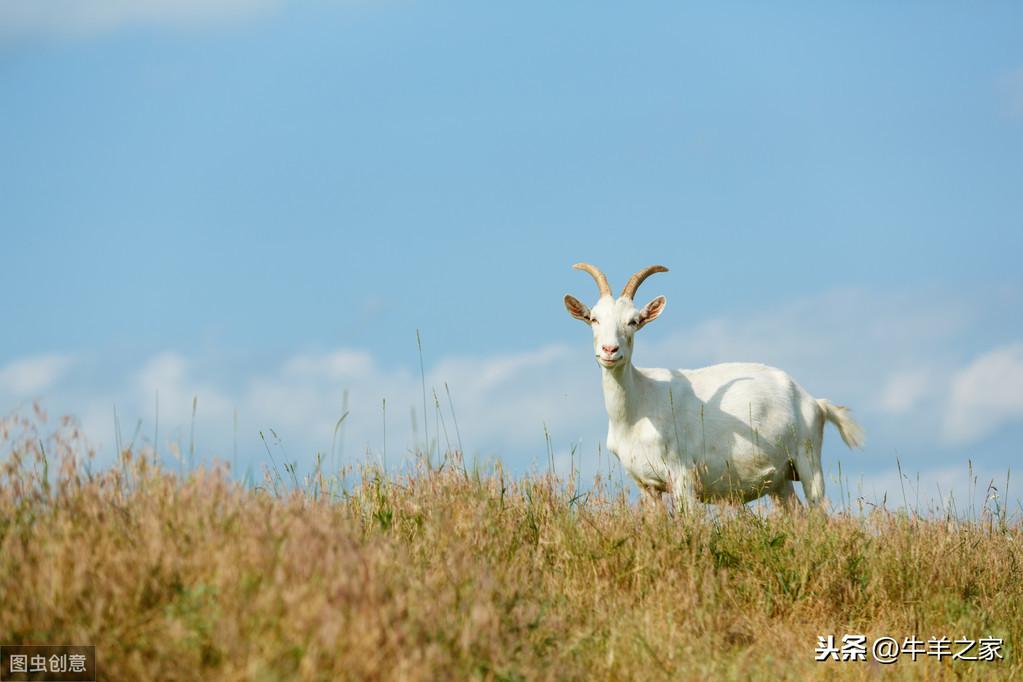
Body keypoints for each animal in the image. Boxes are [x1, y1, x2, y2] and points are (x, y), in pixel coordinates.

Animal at [568, 261, 863, 511]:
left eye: (634, 321)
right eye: (594, 318)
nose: (610, 350)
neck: (639, 407)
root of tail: (814, 402)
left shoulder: (682, 474)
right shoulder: (646, 484)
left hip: (808, 460)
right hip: (781, 479)